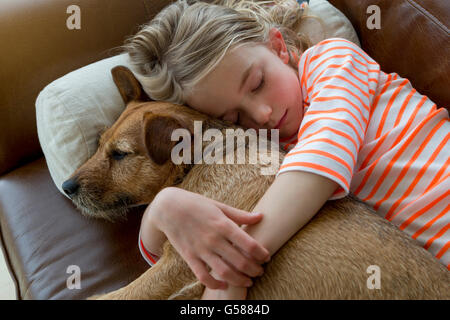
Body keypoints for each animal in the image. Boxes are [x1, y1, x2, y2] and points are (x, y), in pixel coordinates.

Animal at [64, 66, 450, 298]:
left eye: (120, 154)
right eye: (99, 143)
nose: (67, 187)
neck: (204, 155)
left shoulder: (181, 264)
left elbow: (117, 295)